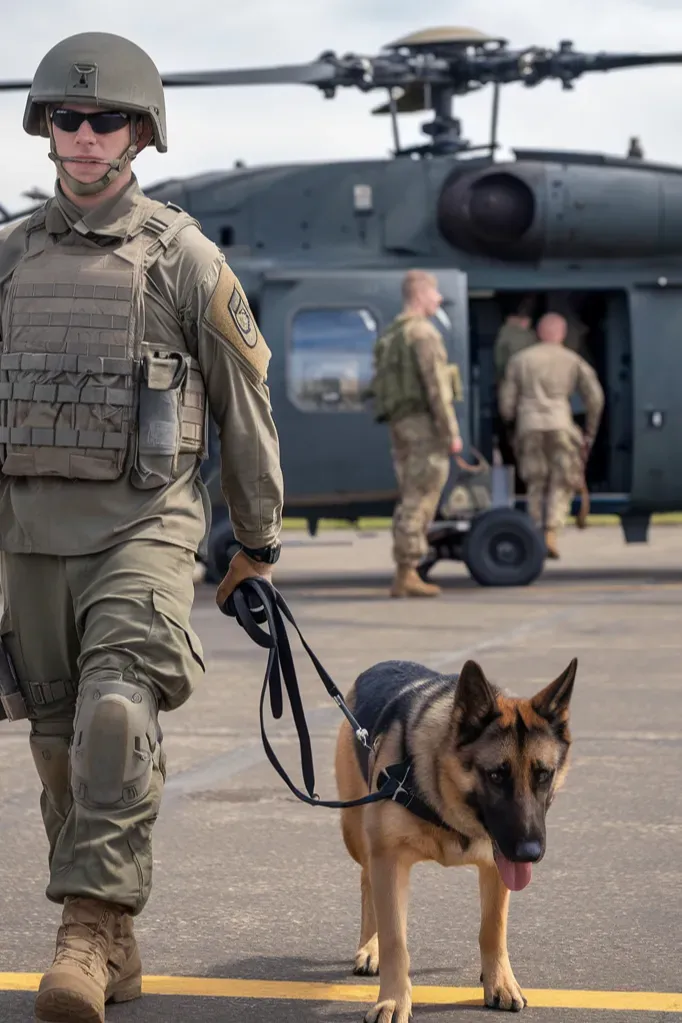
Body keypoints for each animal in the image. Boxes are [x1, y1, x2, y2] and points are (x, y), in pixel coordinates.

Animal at [335, 658, 576, 1018]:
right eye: (496, 775)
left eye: (543, 775)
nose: (530, 853)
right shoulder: (388, 863)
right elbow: (396, 942)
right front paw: (393, 1000)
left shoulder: (495, 868)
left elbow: (492, 930)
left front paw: (500, 983)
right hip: (356, 835)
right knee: (367, 881)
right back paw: (369, 947)